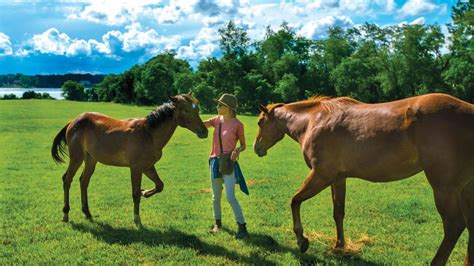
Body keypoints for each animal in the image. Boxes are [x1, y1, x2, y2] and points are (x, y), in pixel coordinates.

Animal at [51, 93, 207, 227]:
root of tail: (73, 122)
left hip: (91, 160)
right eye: (186, 110)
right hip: (77, 158)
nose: (204, 131)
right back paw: (65, 214)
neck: (148, 133)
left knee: (84, 182)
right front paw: (137, 219)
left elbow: (159, 185)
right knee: (67, 180)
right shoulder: (136, 168)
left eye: (197, 109)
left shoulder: (148, 167)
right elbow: (135, 194)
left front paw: (146, 192)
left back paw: (87, 213)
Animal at [256, 93, 474, 264]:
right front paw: (339, 246)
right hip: (465, 189)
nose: (256, 148)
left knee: (454, 225)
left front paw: (302, 240)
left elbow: (295, 201)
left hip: (444, 188)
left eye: (259, 122)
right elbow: (338, 212)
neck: (313, 121)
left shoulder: (321, 175)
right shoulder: (338, 179)